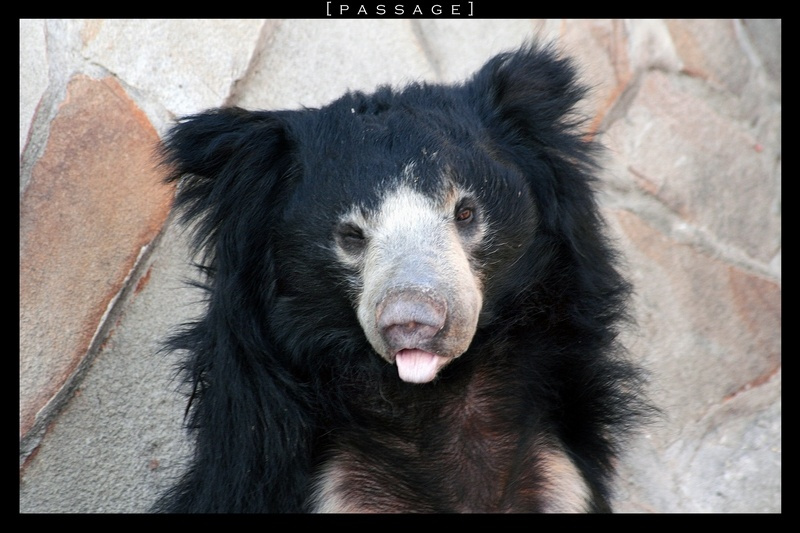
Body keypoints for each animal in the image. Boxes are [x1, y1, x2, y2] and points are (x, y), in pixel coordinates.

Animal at [153, 42, 649, 513]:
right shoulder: (333, 486)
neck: (434, 401)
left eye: (465, 212)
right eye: (350, 236)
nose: (412, 321)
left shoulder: (558, 477)